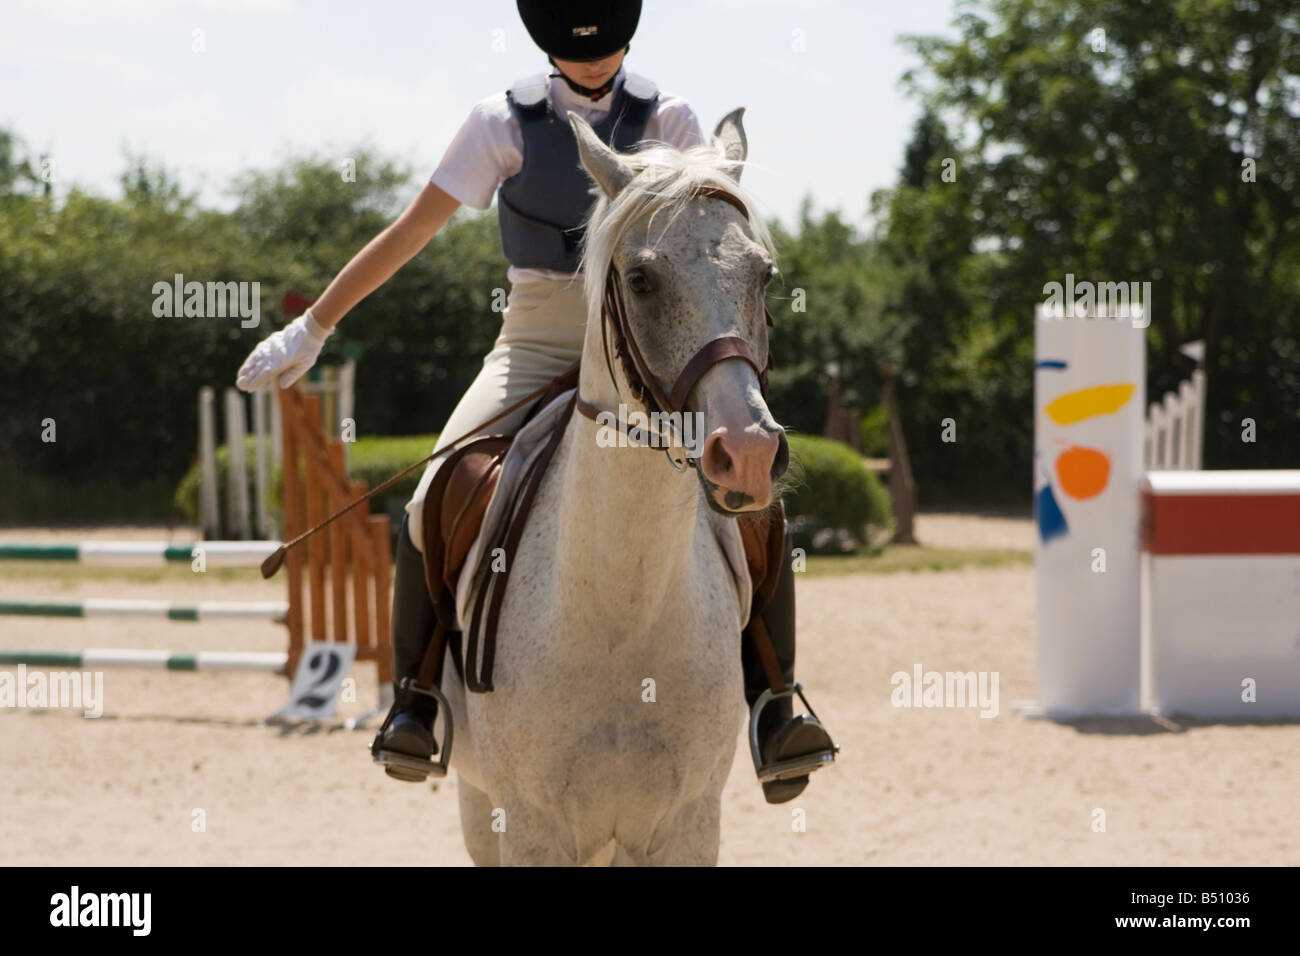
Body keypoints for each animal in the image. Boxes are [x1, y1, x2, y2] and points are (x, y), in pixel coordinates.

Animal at [436, 106, 785, 868]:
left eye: (766, 276)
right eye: (643, 280)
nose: (747, 455)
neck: (624, 614)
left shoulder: (686, 824)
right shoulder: (529, 827)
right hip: (479, 805)